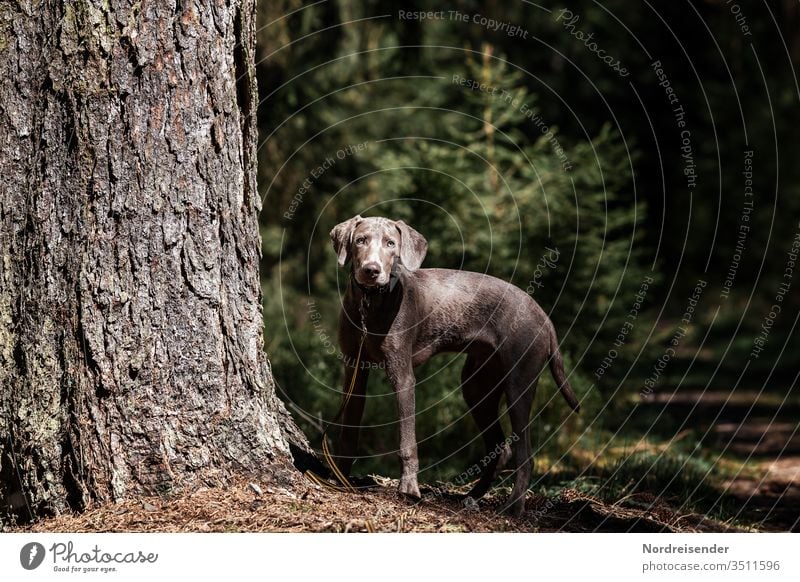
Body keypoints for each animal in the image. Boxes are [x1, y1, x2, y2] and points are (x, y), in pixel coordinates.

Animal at [328, 214, 580, 516]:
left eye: (391, 244)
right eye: (360, 240)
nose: (371, 270)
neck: (370, 303)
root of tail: (544, 316)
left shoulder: (402, 375)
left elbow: (407, 441)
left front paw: (409, 489)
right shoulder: (354, 370)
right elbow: (348, 431)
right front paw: (340, 477)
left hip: (519, 384)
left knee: (525, 455)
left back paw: (513, 509)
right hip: (477, 386)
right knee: (501, 448)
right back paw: (471, 497)